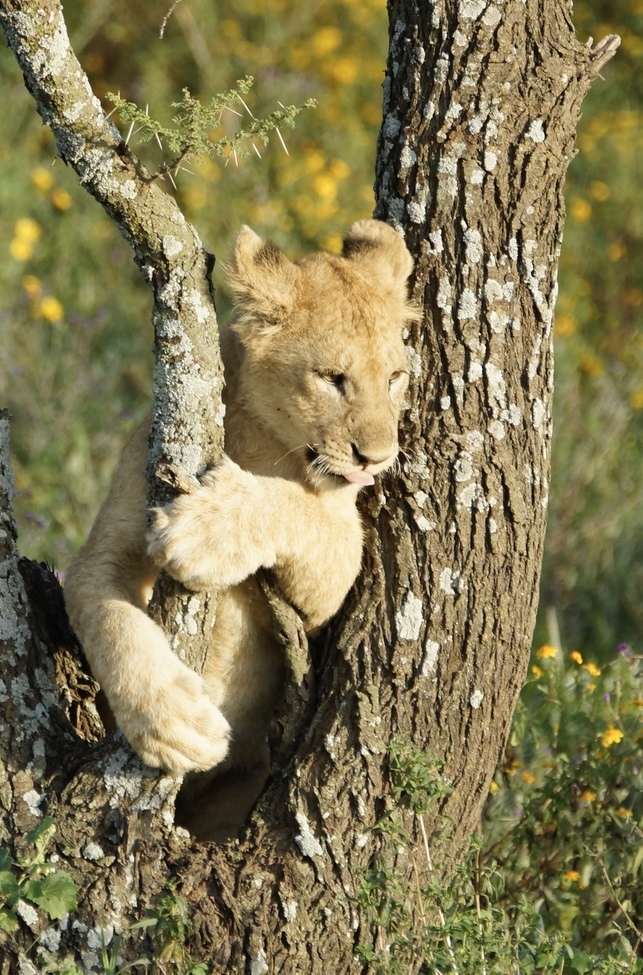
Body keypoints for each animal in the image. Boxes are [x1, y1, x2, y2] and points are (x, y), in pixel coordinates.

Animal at [63, 219, 417, 838]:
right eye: (333, 378)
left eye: (395, 377)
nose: (377, 459)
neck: (263, 439)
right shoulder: (109, 545)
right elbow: (105, 613)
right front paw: (175, 723)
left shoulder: (330, 583)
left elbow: (294, 507)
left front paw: (204, 532)